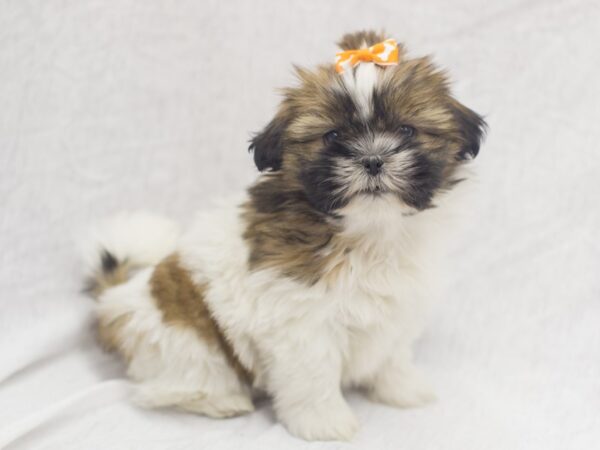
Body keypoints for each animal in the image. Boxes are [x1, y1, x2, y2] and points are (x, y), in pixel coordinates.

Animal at [84, 30, 486, 440]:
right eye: (332, 136)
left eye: (406, 130)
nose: (373, 160)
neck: (368, 230)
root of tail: (115, 300)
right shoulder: (301, 324)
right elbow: (313, 376)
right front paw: (324, 423)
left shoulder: (398, 307)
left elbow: (392, 354)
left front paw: (402, 388)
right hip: (186, 342)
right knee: (174, 383)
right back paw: (220, 401)